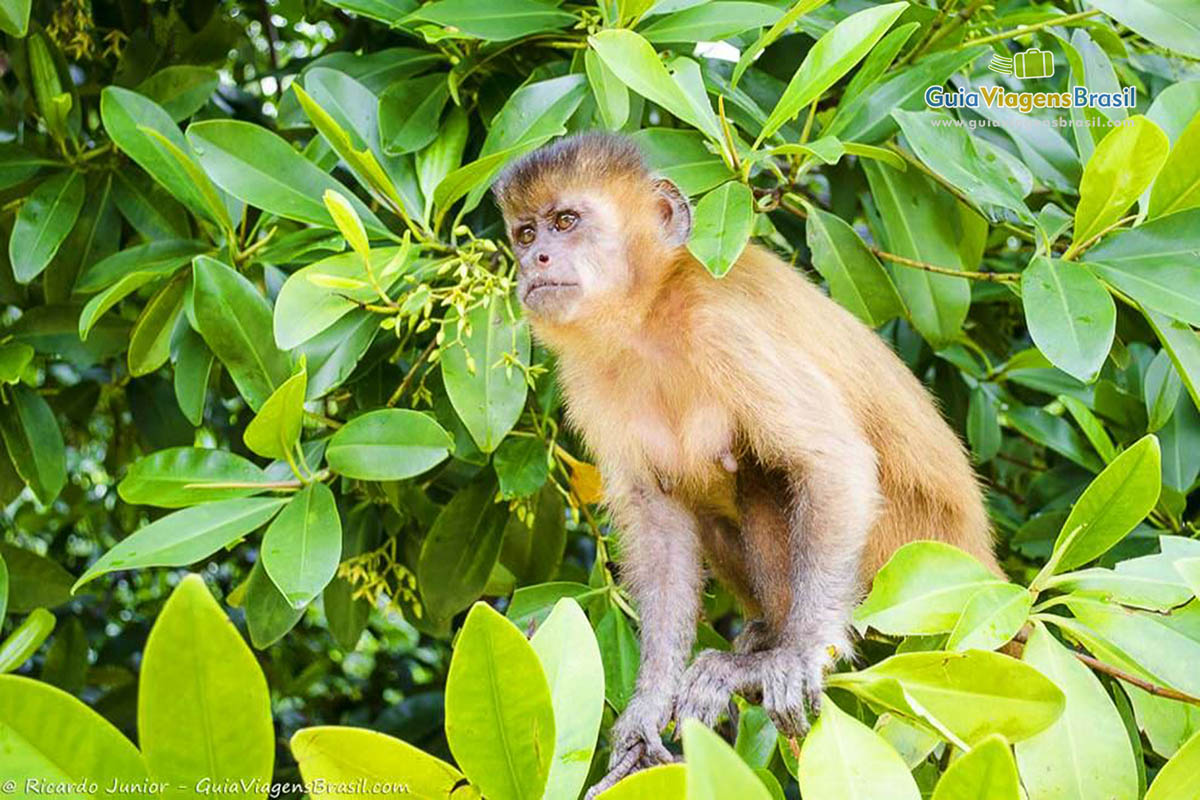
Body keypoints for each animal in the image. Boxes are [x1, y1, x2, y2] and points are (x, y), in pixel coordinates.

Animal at [492, 133, 998, 796]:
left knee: (764, 472)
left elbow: (832, 461)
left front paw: (798, 654)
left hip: (912, 561)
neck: (650, 314)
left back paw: (757, 660)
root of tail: (982, 563)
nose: (537, 260)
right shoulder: (588, 377)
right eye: (525, 233)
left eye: (566, 222)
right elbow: (657, 520)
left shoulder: (723, 327)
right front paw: (649, 706)